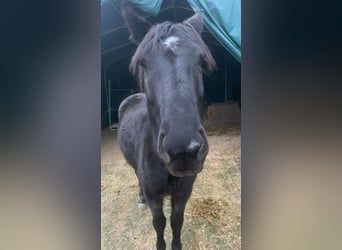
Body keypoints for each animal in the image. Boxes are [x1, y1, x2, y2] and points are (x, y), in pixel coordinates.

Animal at [117, 2, 214, 249]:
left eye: (201, 61)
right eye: (143, 63)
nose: (183, 151)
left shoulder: (183, 193)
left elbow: (176, 221)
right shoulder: (155, 196)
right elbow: (159, 222)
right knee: (137, 177)